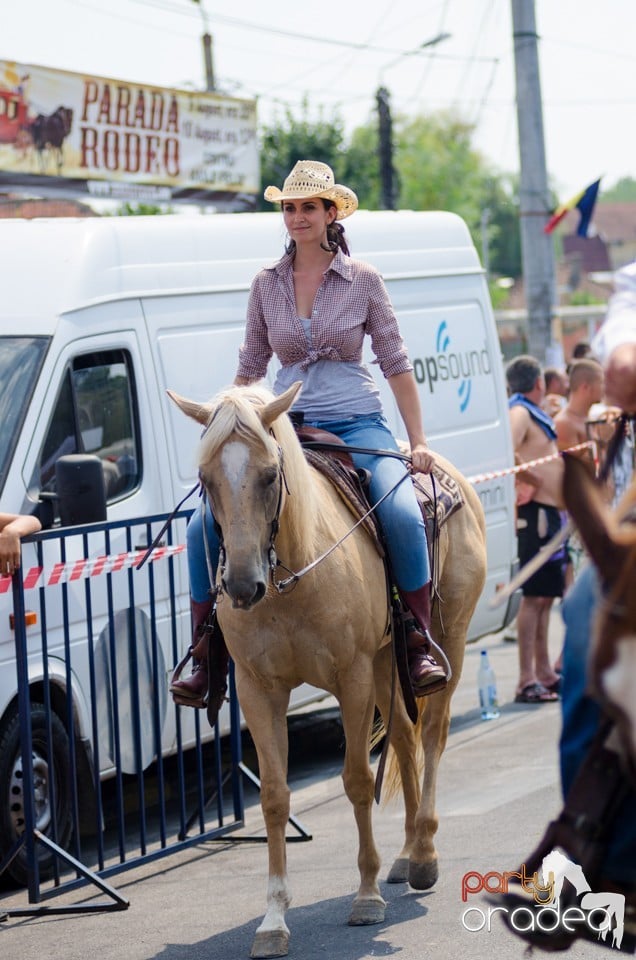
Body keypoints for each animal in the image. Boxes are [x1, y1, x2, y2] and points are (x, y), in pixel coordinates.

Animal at [169, 382, 486, 960]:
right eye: (205, 480)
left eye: (270, 474)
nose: (242, 585)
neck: (291, 575)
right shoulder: (258, 690)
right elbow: (274, 797)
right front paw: (273, 920)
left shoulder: (352, 679)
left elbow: (358, 779)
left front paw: (365, 897)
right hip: (389, 658)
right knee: (404, 738)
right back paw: (408, 854)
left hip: (445, 637)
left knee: (432, 733)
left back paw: (425, 853)